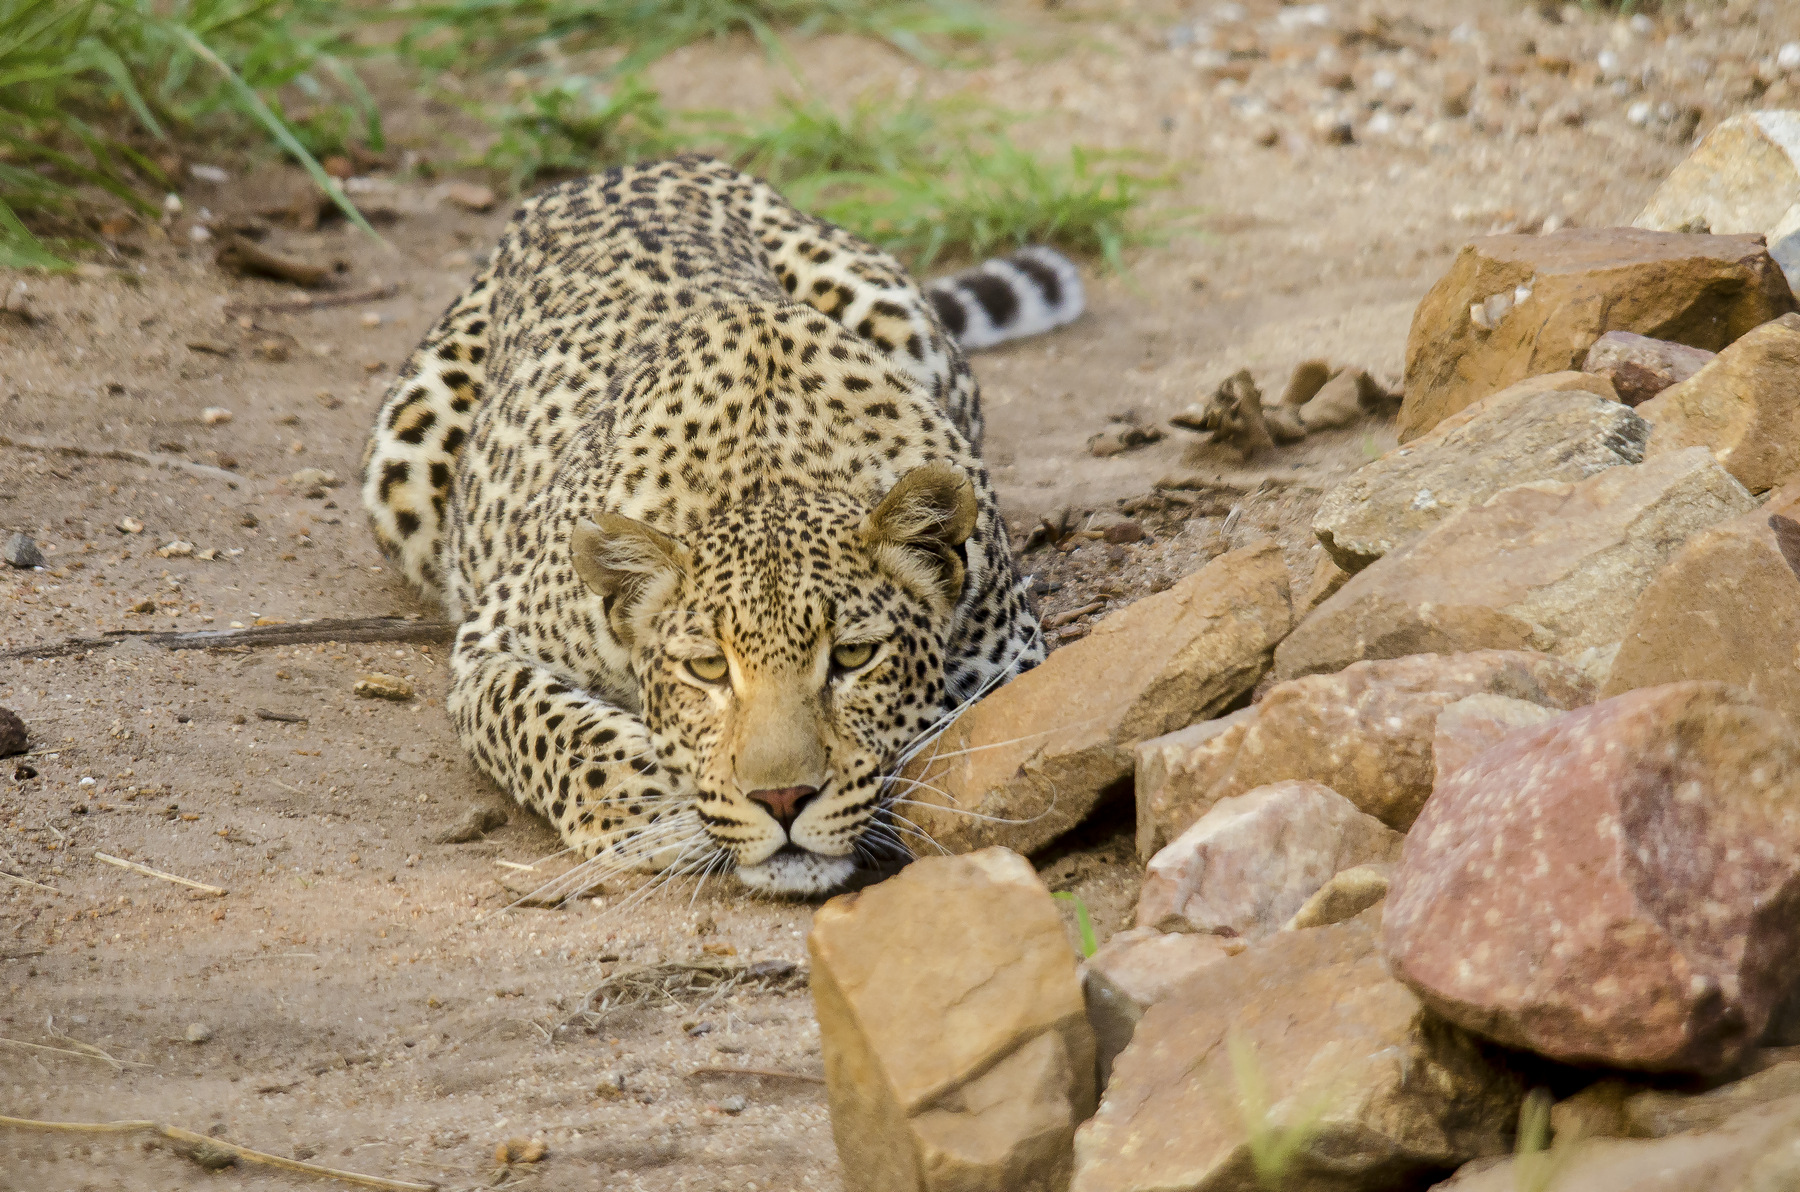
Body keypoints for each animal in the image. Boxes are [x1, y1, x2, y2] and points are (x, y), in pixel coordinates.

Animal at [360, 155, 1083, 896]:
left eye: (853, 658)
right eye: (708, 668)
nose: (783, 800)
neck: (768, 474)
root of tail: (645, 163)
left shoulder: (1011, 655)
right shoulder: (494, 643)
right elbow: (541, 721)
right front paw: (656, 808)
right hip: (403, 459)